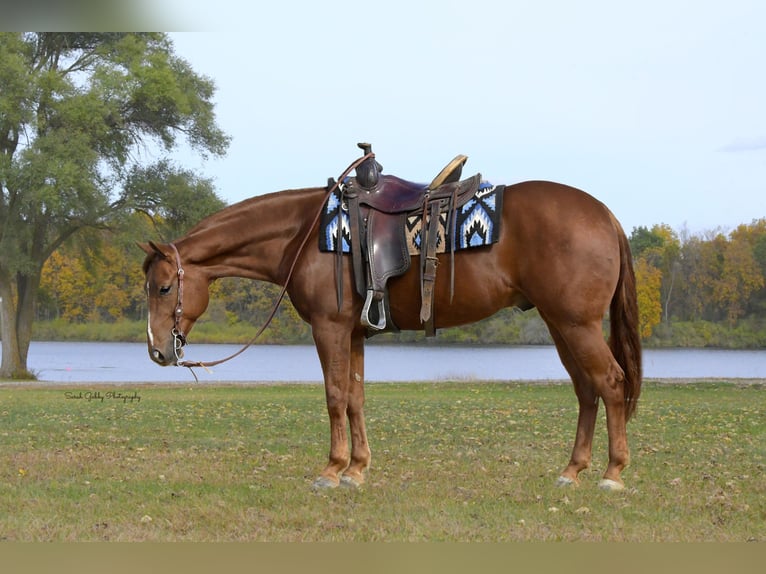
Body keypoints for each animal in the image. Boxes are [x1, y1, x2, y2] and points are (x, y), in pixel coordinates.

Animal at [139, 170, 642, 492]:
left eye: (163, 287)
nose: (159, 352)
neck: (305, 234)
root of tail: (606, 215)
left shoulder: (329, 329)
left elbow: (334, 397)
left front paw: (331, 471)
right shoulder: (353, 334)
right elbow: (355, 398)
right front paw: (357, 470)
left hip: (575, 325)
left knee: (611, 383)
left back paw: (613, 474)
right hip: (561, 325)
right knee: (586, 390)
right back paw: (572, 471)